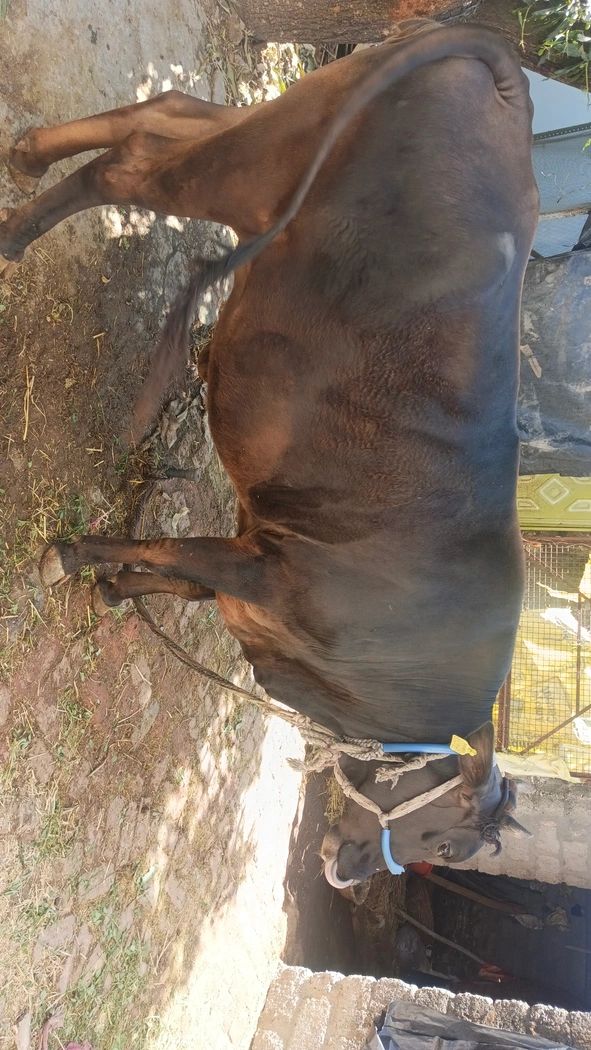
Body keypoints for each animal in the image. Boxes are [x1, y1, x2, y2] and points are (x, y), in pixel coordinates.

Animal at [0, 21, 538, 887]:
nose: (346, 871)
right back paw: (14, 231)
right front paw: (71, 556)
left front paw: (116, 588)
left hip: (281, 126)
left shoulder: (253, 553)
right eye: (445, 839)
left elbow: (180, 575)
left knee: (165, 110)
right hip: (255, 173)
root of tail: (507, 85)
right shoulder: (272, 569)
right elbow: (174, 550)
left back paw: (25, 157)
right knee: (135, 159)